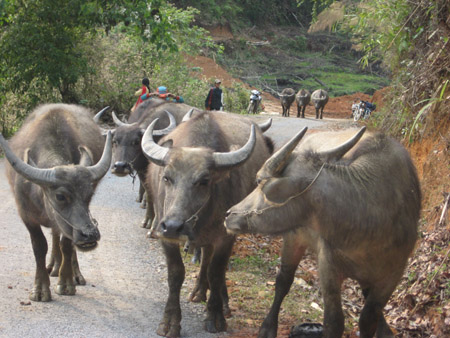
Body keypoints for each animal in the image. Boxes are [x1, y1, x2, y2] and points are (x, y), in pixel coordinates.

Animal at [0, 103, 112, 302]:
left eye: (89, 194)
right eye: (60, 196)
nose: (90, 235)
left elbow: (66, 245)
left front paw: (66, 282)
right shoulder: (26, 215)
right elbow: (39, 246)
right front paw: (40, 288)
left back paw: (74, 274)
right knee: (54, 233)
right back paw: (53, 265)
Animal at [142, 110, 274, 336]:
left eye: (203, 181)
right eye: (167, 178)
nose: (173, 226)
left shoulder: (226, 237)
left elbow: (216, 272)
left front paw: (215, 316)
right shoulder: (164, 235)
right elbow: (175, 274)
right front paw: (170, 321)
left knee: (212, 264)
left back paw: (222, 301)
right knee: (205, 255)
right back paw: (199, 291)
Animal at [227, 127, 420, 338]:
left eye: (260, 181)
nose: (229, 214)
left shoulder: (392, 275)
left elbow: (368, 319)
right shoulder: (328, 266)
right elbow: (334, 321)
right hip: (294, 239)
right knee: (283, 280)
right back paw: (268, 328)